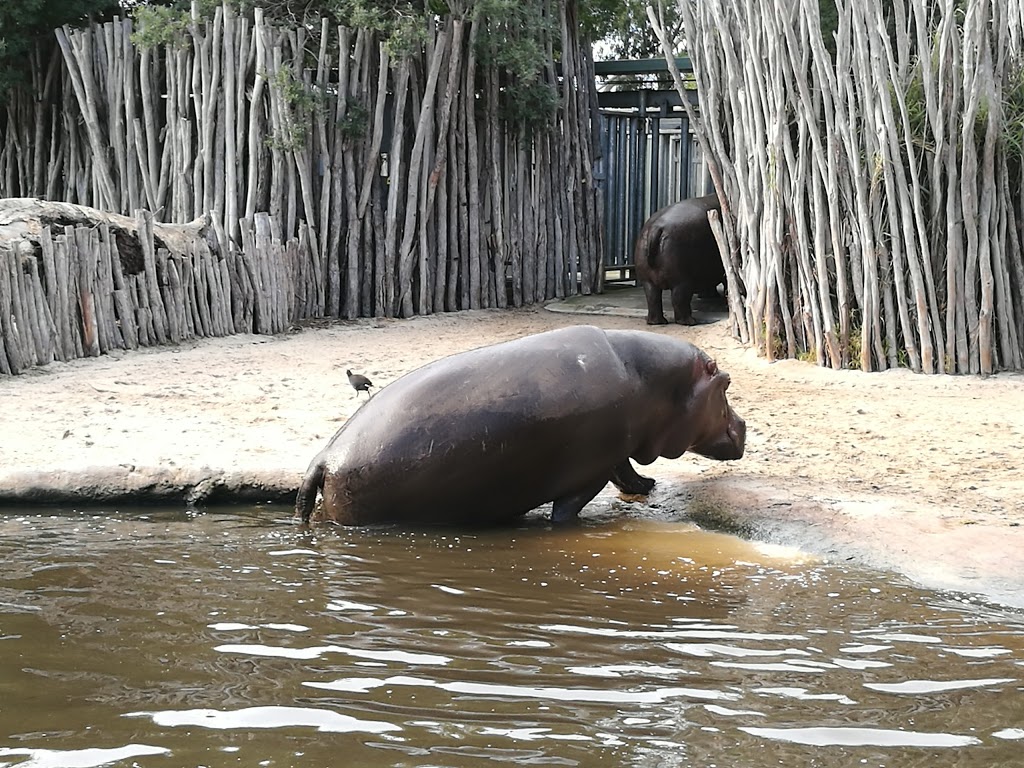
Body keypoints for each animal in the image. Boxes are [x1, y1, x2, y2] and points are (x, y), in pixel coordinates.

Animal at [296, 325, 745, 528]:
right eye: (725, 384)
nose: (743, 424)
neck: (651, 381)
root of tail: (324, 456)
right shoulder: (590, 471)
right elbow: (569, 508)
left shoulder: (617, 452)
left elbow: (628, 472)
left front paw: (647, 487)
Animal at [634, 195, 724, 327]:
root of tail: (656, 227)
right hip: (682, 281)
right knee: (679, 299)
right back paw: (690, 322)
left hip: (648, 280)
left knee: (653, 298)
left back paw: (657, 322)